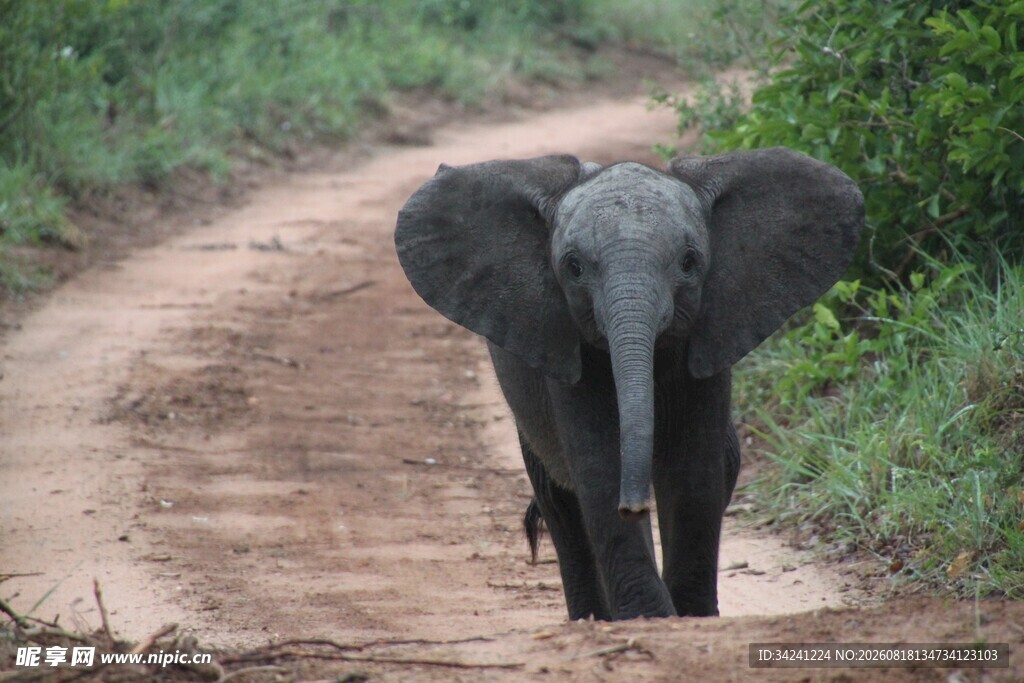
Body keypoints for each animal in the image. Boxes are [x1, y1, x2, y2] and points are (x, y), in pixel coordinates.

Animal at [394, 148, 863, 620]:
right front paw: (649, 616)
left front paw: (692, 615)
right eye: (573, 267)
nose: (634, 507)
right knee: (557, 498)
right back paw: (591, 617)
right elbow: (599, 465)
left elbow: (695, 468)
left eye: (690, 262)